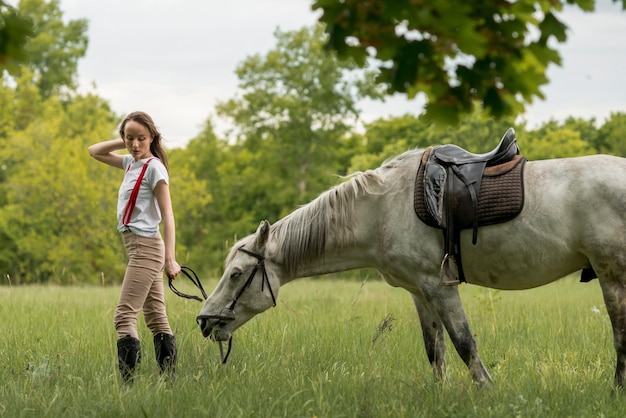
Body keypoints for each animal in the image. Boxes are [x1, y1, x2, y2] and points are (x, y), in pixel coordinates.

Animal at [197, 148, 624, 388]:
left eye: (236, 274)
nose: (204, 321)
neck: (380, 209)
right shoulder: (421, 292)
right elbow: (435, 350)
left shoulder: (440, 286)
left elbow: (464, 345)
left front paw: (487, 392)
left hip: (612, 275)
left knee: (620, 335)